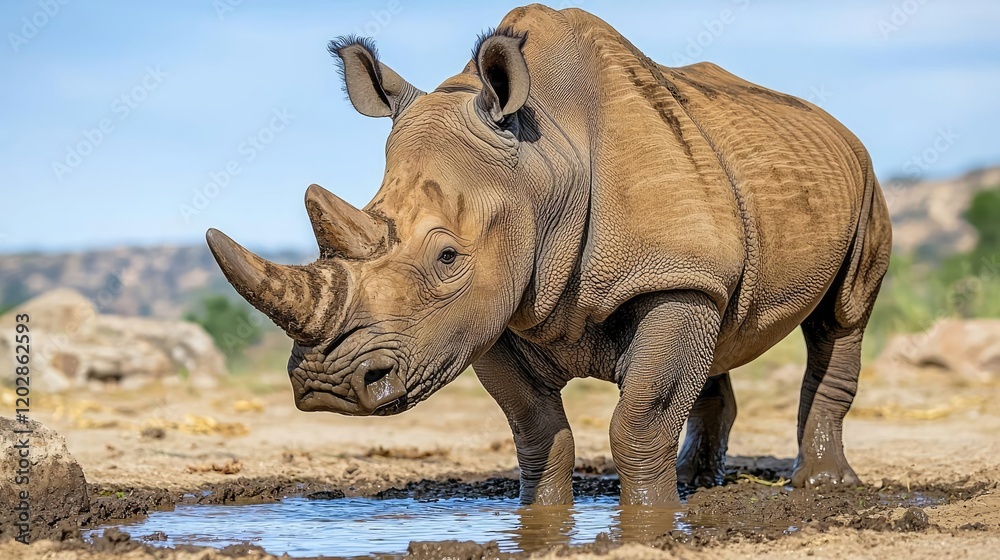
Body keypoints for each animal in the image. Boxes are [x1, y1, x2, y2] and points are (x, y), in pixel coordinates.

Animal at [206, 5, 891, 506]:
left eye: (447, 257)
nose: (327, 386)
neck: (544, 164)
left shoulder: (669, 276)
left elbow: (640, 421)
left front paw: (650, 516)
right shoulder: (488, 308)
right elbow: (536, 428)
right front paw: (542, 515)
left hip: (862, 180)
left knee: (843, 316)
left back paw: (822, 485)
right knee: (720, 334)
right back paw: (699, 482)